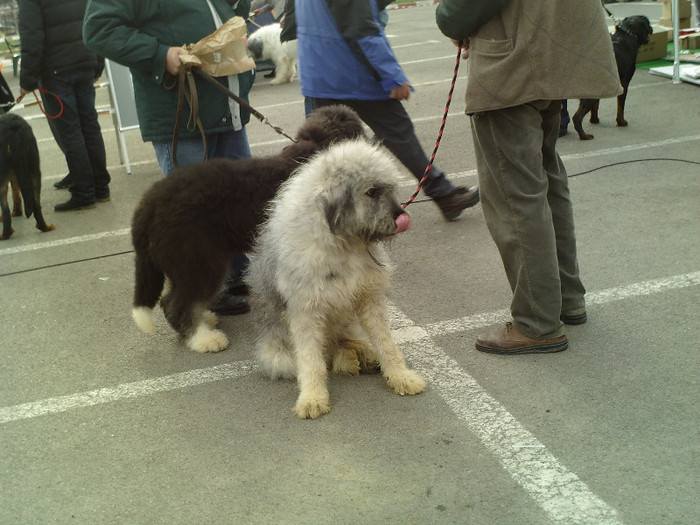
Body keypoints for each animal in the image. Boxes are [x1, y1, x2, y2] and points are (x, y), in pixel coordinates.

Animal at [0, 113, 54, 241]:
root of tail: (12, 126)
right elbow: (16, 192)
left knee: (6, 209)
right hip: (34, 169)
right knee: (36, 205)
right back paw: (44, 227)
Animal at [247, 139, 426, 418]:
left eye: (388, 189)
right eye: (372, 192)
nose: (401, 218)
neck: (343, 244)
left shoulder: (369, 298)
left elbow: (386, 343)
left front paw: (400, 376)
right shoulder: (305, 311)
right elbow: (311, 361)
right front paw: (312, 398)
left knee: (346, 343)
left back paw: (363, 354)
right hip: (279, 356)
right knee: (327, 356)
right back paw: (350, 360)